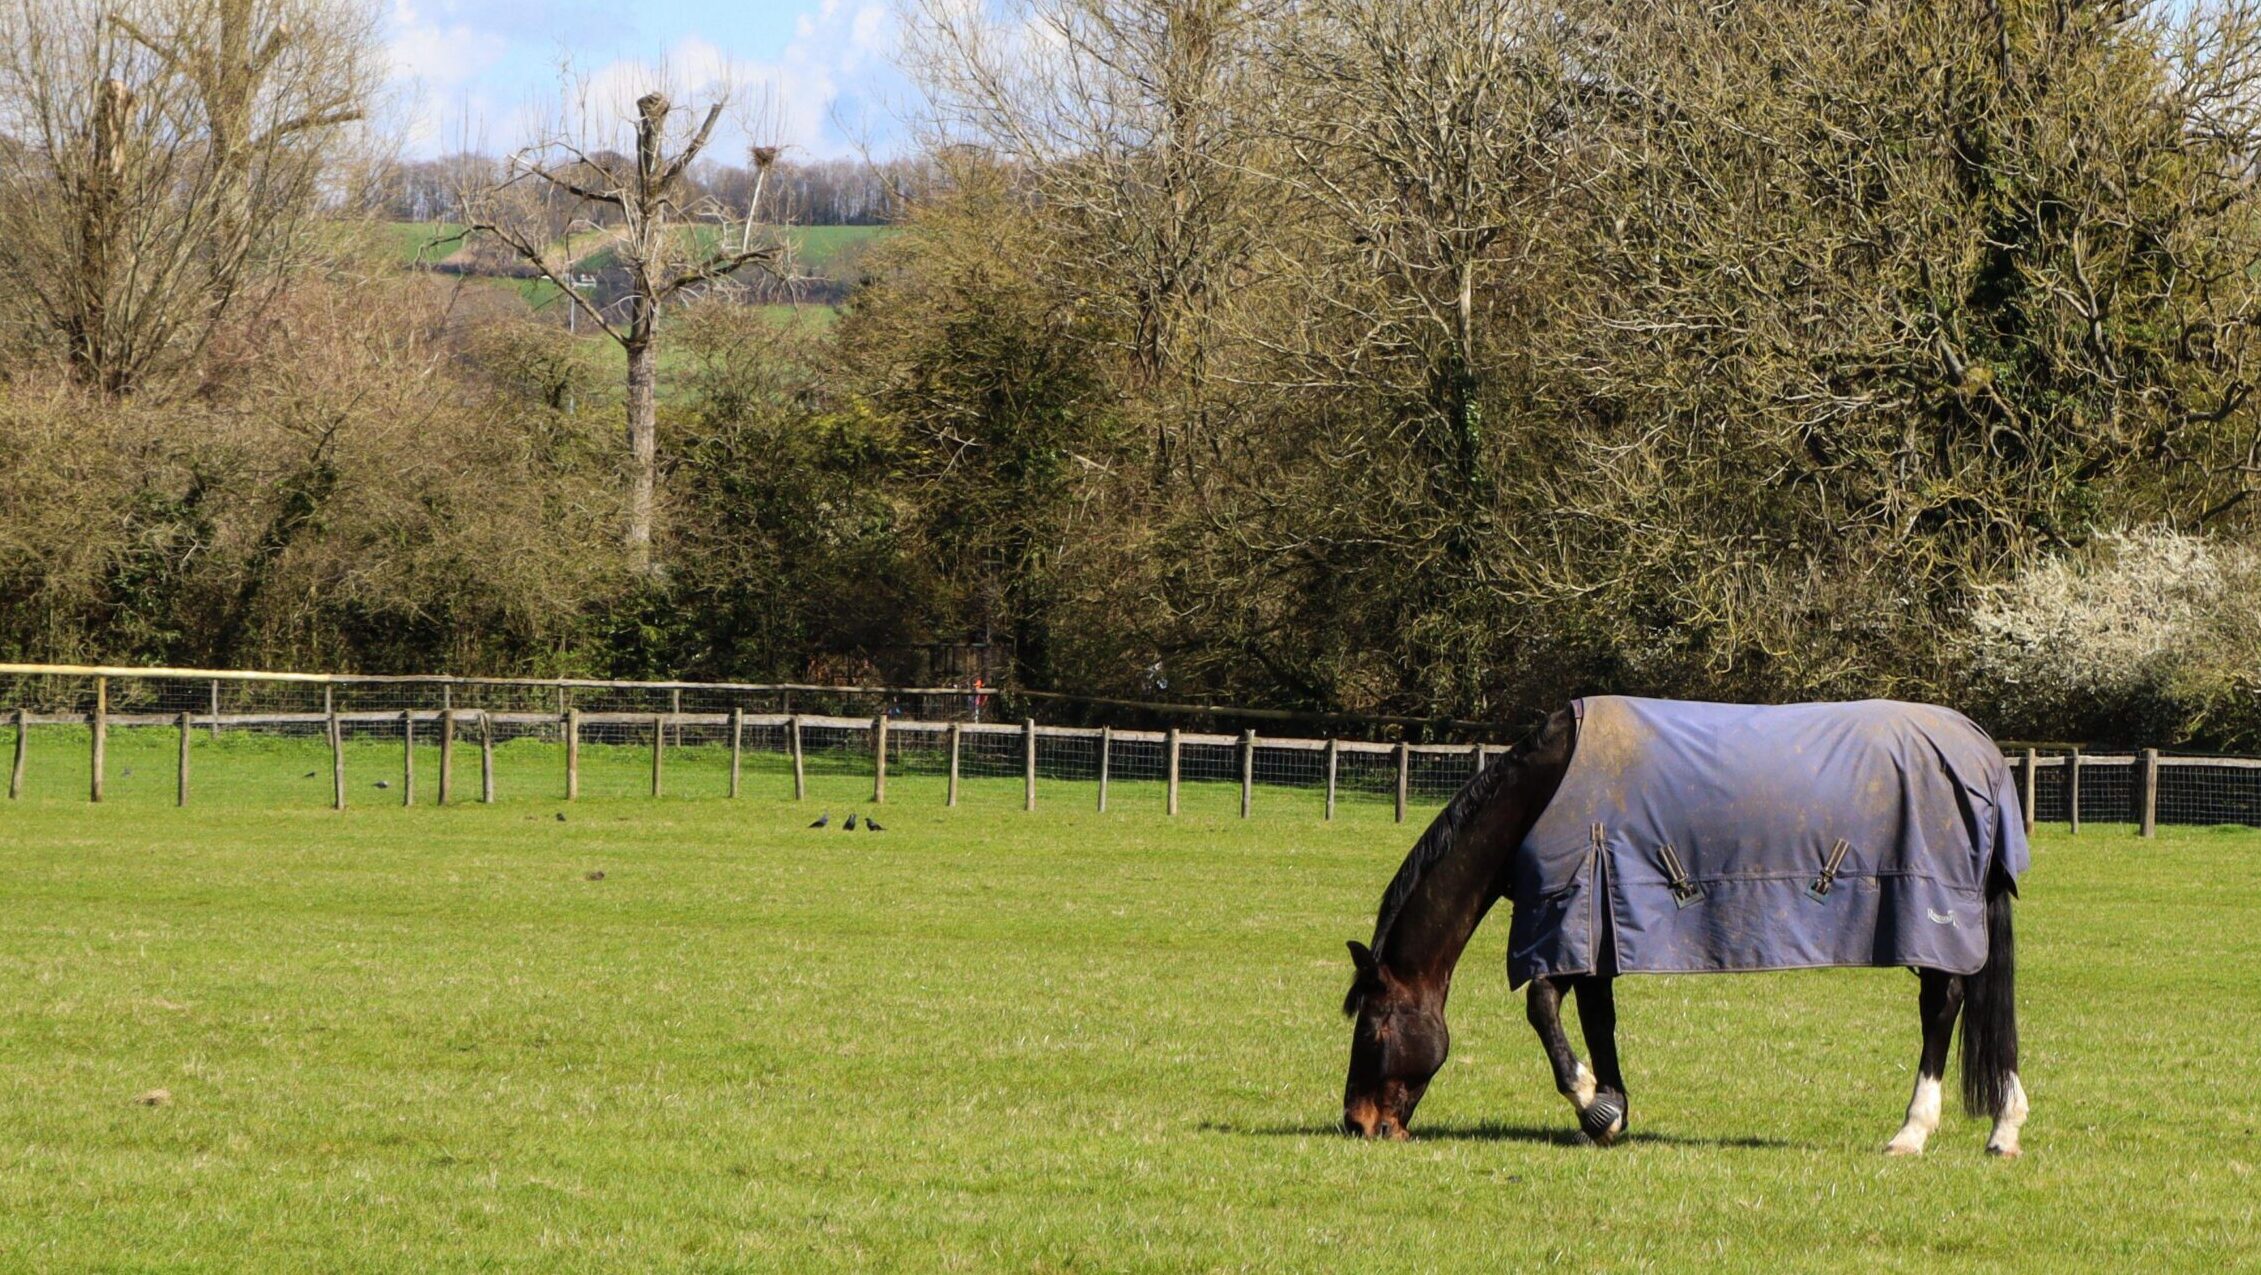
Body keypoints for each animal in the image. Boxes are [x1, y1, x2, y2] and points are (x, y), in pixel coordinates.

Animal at [1341, 696, 2029, 1157]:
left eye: (1374, 1029)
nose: (1359, 1124)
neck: (1543, 795)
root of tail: (1982, 754)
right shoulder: (1600, 922)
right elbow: (1598, 1020)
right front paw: (1612, 1111)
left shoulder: (1565, 915)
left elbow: (1541, 1007)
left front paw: (1592, 1104)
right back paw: (2004, 1127)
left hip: (1932, 919)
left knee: (1942, 1007)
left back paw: (1912, 1131)